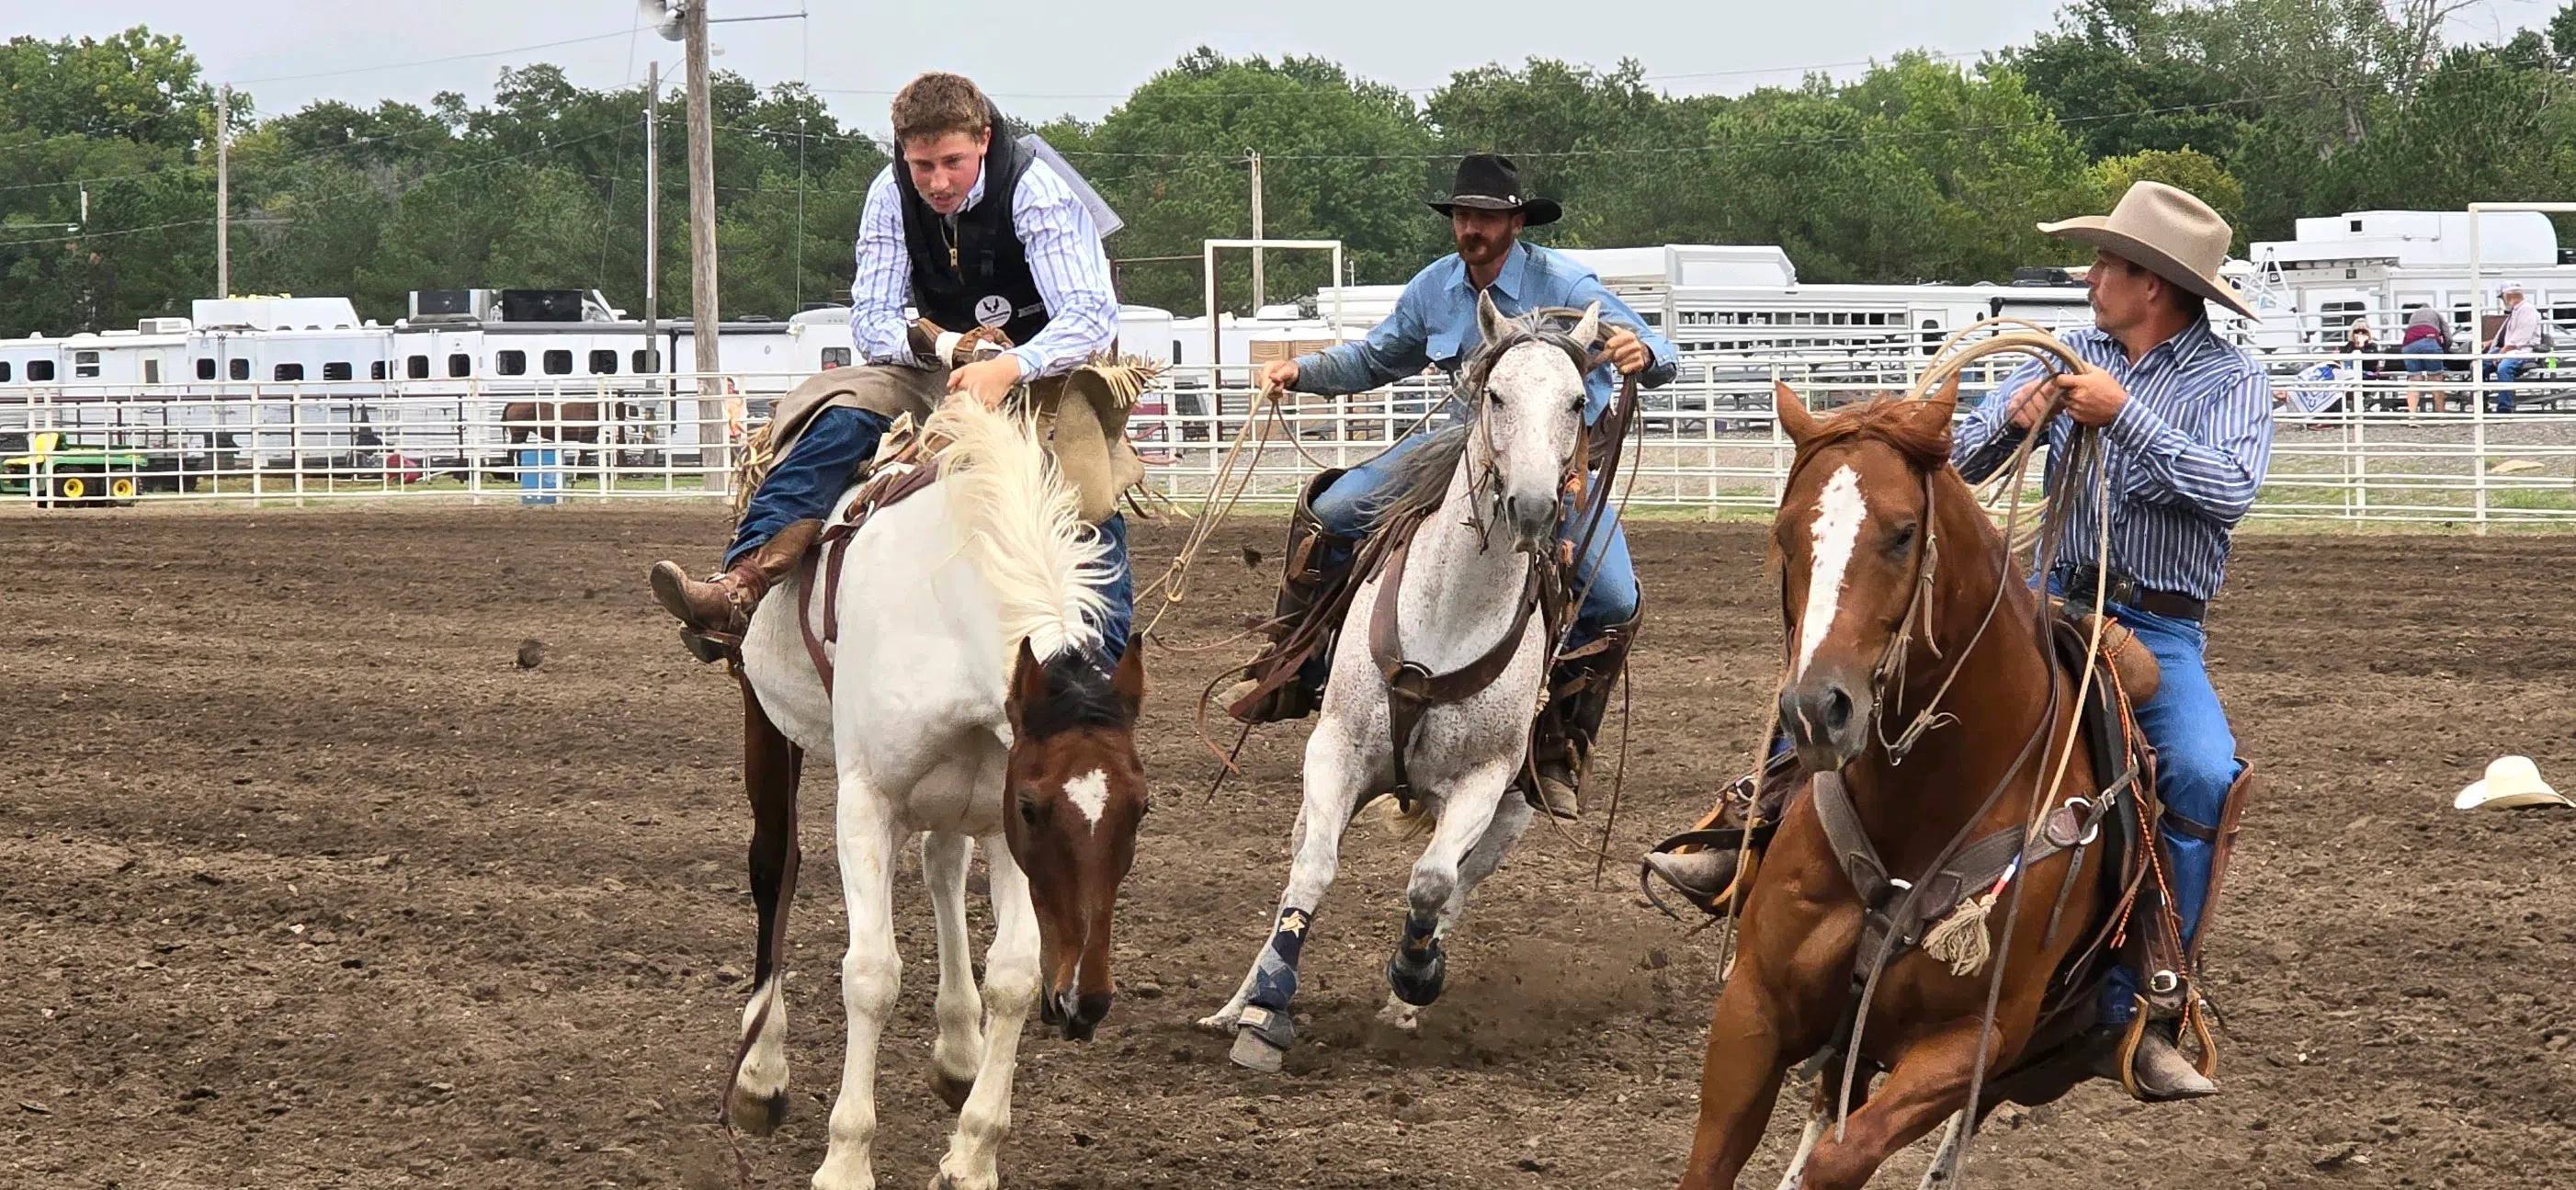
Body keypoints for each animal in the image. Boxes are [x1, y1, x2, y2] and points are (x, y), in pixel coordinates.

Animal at [716, 396, 1138, 1190]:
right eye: (1037, 805)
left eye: (1141, 809)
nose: (1086, 1002)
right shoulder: (868, 804)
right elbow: (871, 973)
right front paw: (846, 1159)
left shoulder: (1000, 820)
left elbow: (1011, 974)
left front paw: (972, 1153)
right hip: (765, 716)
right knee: (773, 865)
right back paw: (759, 1072)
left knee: (941, 866)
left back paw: (959, 1051)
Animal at [1669, 383, 2132, 1190]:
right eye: (1785, 532)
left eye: (1902, 531)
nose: (1814, 710)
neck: (1920, 807)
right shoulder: (1752, 1008)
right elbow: (1718, 1157)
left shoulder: (1971, 1041)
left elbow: (1842, 1157)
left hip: (2026, 1063)